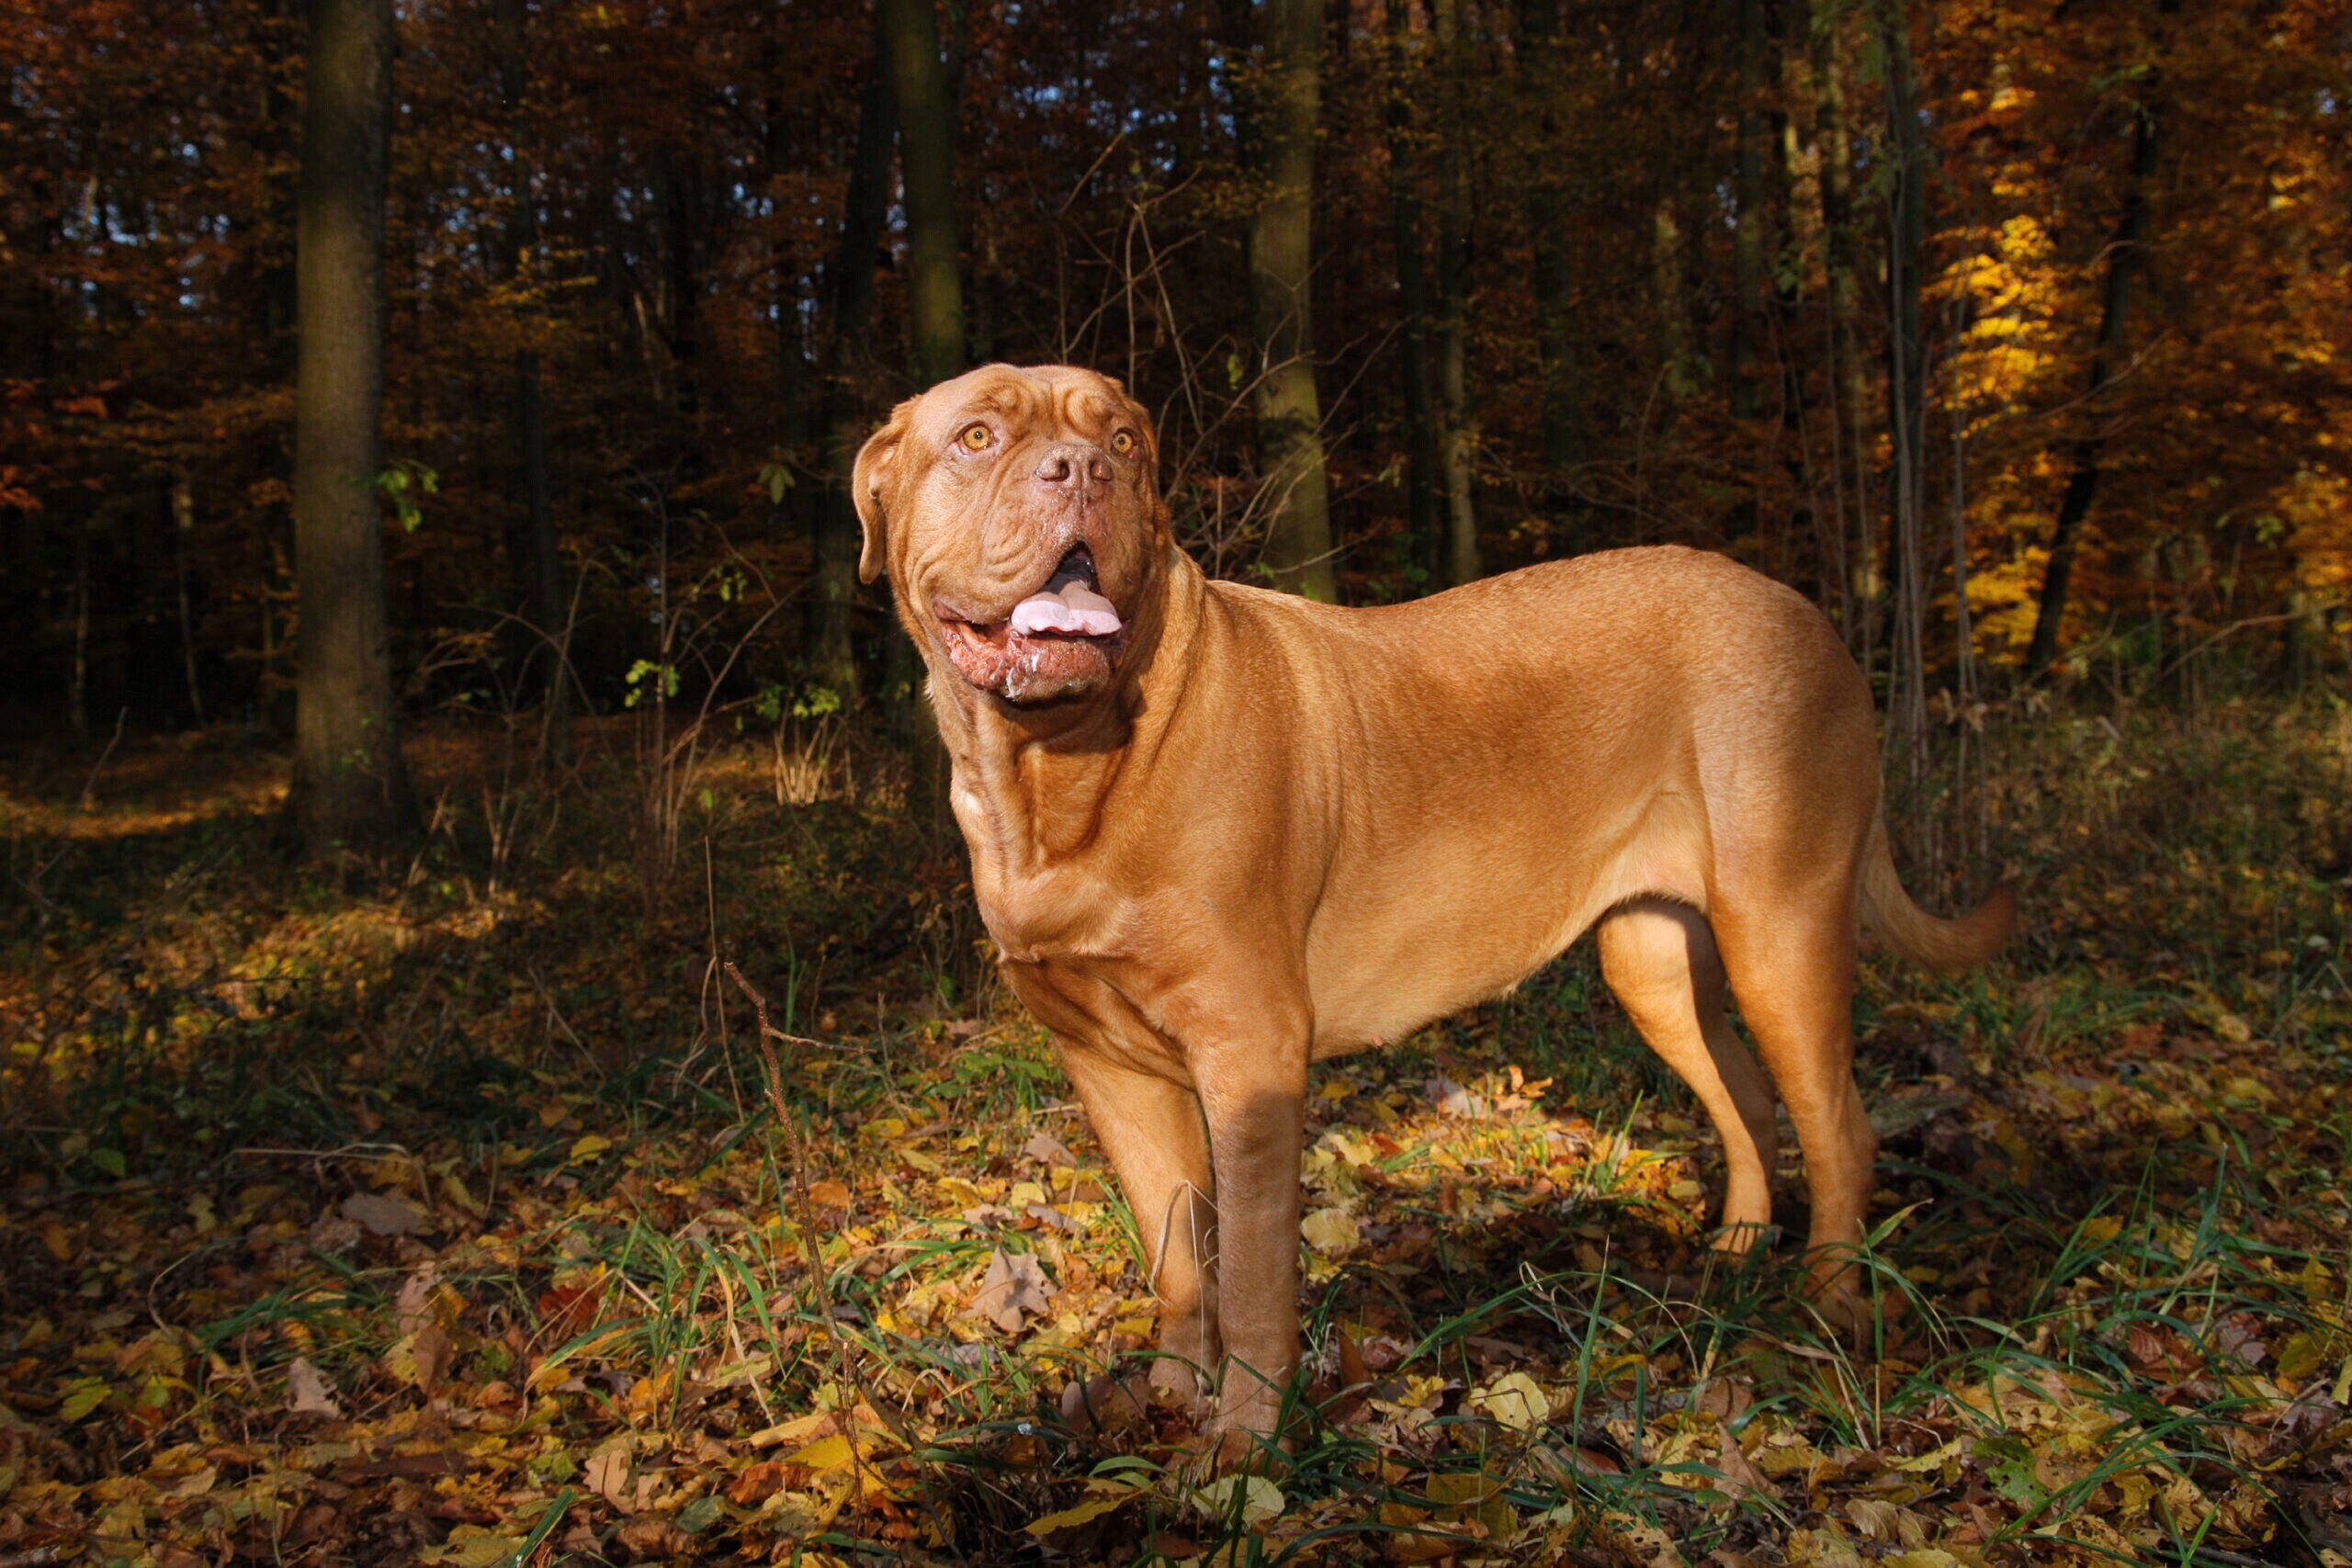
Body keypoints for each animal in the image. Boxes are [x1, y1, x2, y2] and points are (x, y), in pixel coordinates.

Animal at [855, 362, 2013, 1457]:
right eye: (977, 437)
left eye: (1126, 442)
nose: (1084, 472)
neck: (1060, 771)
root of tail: (1812, 615)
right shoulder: (1109, 1068)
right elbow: (1178, 1256)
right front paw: (1175, 1399)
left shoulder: (1248, 1052)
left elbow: (1256, 1275)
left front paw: (1245, 1451)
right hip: (1655, 960)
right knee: (1748, 1097)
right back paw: (1733, 1254)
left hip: (1780, 929)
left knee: (1842, 1127)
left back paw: (1825, 1313)